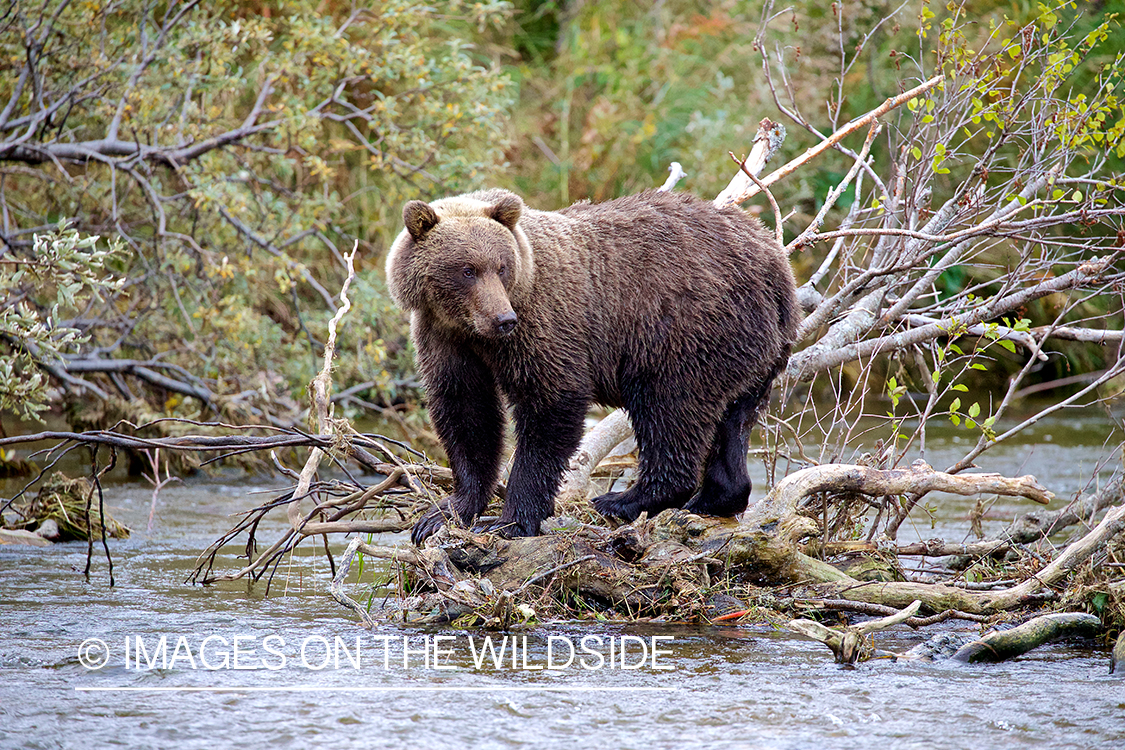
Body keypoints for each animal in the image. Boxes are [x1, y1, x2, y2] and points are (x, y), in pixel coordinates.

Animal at [387, 186, 801, 539]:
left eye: (501, 267)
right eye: (467, 270)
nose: (503, 319)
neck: (473, 330)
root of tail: (778, 264)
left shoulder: (545, 325)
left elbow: (551, 405)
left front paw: (510, 519)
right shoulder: (445, 338)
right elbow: (466, 411)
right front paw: (446, 512)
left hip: (684, 332)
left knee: (670, 412)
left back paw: (623, 500)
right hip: (752, 353)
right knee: (733, 420)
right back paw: (714, 497)